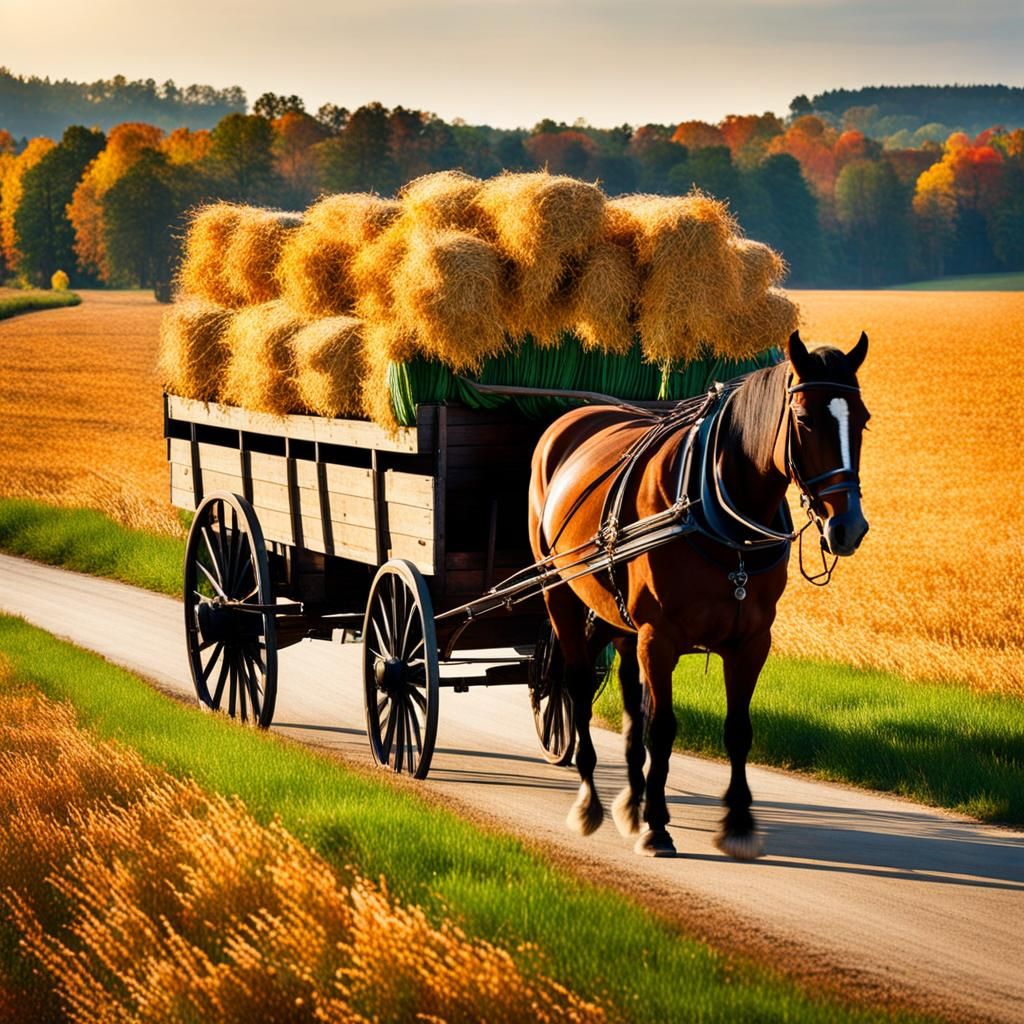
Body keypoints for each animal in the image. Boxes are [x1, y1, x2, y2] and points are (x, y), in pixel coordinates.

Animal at [527, 330, 870, 858]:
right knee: (578, 687)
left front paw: (737, 823)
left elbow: (737, 729)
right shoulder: (660, 636)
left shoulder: (751, 641)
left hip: (618, 620)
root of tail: (569, 419)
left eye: (864, 419)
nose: (848, 526)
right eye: (805, 418)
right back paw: (590, 802)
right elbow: (663, 728)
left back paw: (630, 802)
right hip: (561, 593)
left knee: (629, 700)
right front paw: (657, 828)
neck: (718, 515)